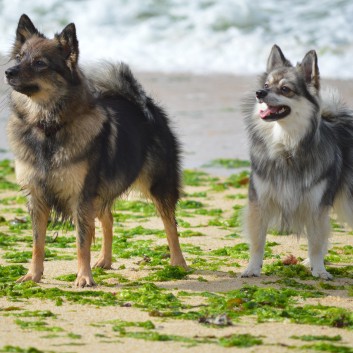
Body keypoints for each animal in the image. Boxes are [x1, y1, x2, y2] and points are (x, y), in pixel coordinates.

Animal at [241, 44, 352, 280]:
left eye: (285, 89)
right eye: (266, 85)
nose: (259, 93)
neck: (286, 146)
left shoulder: (316, 207)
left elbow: (316, 243)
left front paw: (319, 270)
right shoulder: (259, 203)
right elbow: (257, 242)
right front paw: (252, 268)